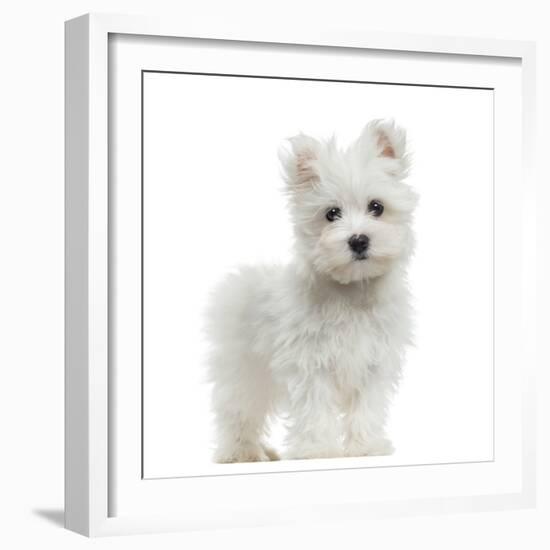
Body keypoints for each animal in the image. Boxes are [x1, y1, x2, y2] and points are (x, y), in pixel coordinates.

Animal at [206, 121, 418, 466]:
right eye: (331, 214)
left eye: (377, 207)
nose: (358, 240)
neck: (351, 291)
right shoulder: (311, 363)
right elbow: (315, 408)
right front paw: (318, 450)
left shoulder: (373, 363)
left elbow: (366, 408)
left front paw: (366, 447)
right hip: (244, 372)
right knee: (238, 412)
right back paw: (241, 453)